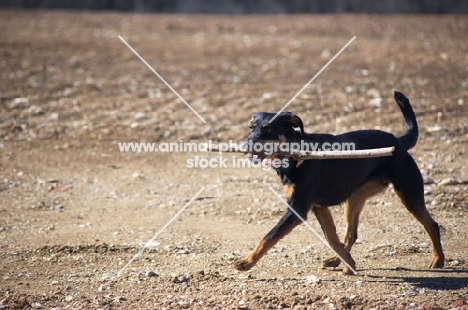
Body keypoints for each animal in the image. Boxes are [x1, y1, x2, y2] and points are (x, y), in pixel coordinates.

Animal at [236, 91, 444, 274]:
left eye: (268, 129)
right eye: (251, 127)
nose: (246, 144)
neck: (294, 154)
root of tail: (399, 141)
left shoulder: (297, 209)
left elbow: (268, 236)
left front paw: (247, 262)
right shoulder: (319, 207)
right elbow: (332, 239)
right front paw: (349, 263)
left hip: (409, 194)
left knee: (432, 225)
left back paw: (438, 259)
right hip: (354, 199)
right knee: (351, 234)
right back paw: (337, 260)